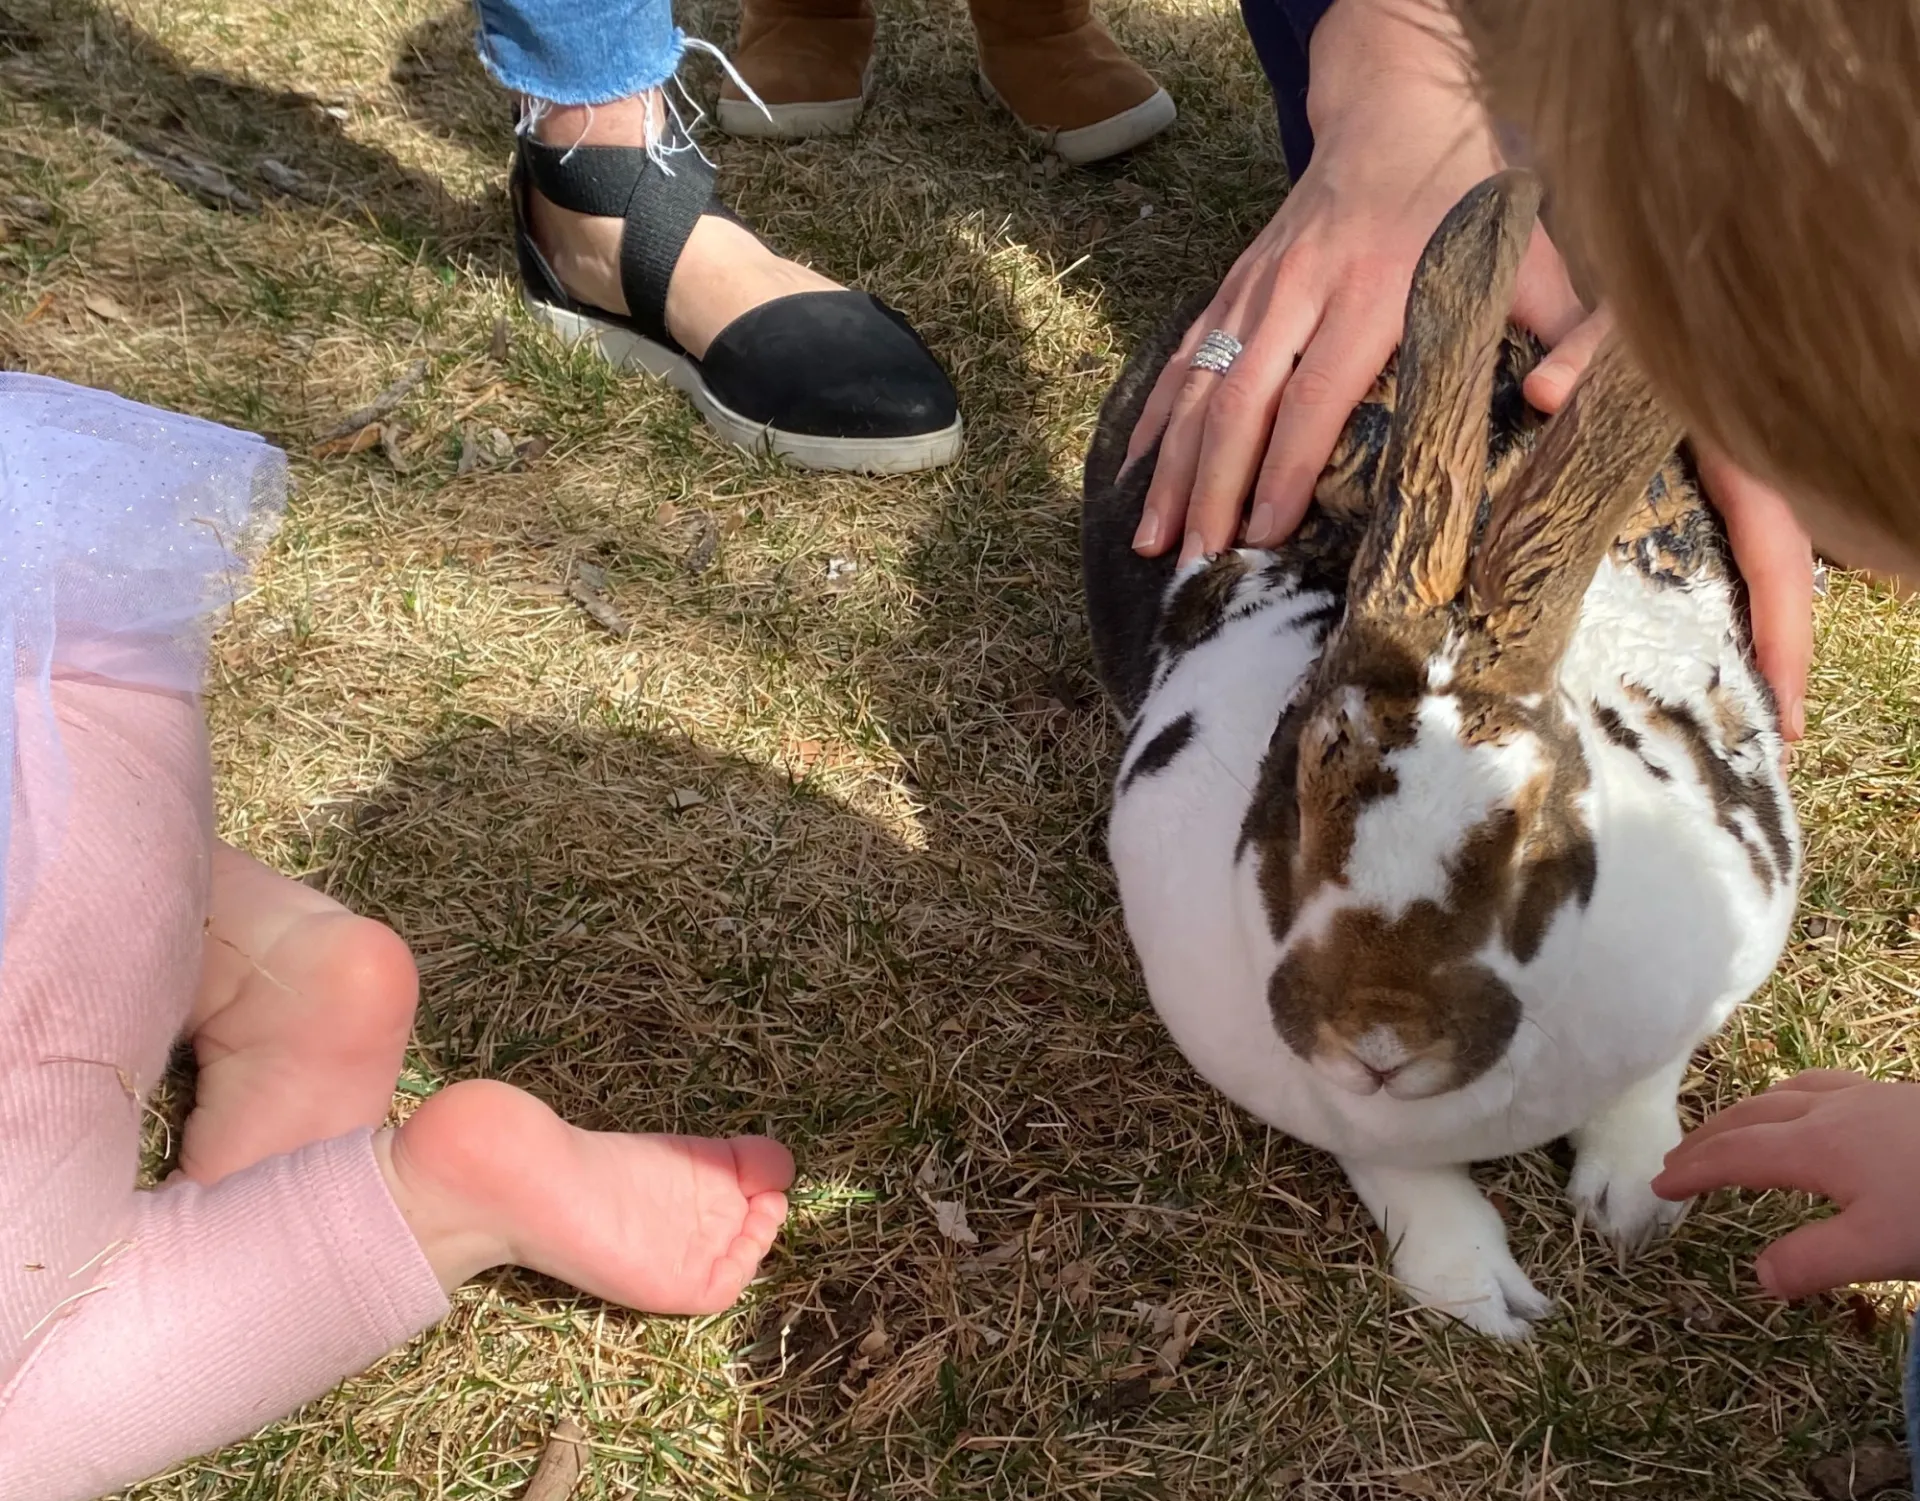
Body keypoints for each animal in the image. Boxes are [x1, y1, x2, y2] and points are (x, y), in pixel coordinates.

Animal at [1080, 170, 1801, 1339]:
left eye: (1539, 841)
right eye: (1289, 796)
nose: (1377, 1039)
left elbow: (1650, 1083)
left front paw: (1634, 1201)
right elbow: (1398, 1171)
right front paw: (1486, 1295)